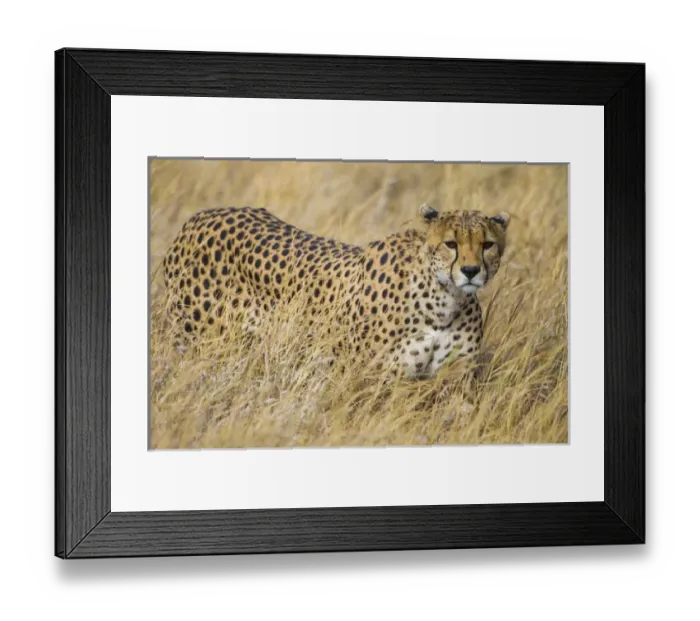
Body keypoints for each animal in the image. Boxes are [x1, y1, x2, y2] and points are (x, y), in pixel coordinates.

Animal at [162, 203, 510, 379]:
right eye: (451, 244)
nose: (470, 271)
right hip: (196, 342)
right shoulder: (371, 380)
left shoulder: (454, 379)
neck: (443, 301)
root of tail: (206, 213)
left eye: (487, 245)